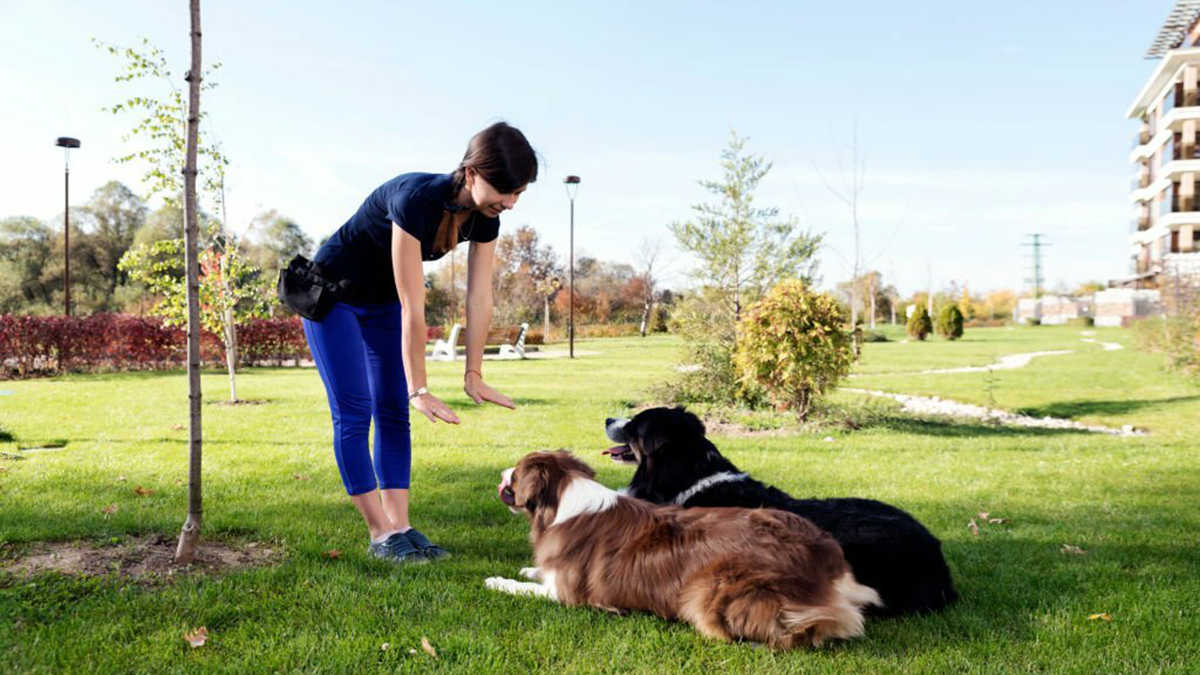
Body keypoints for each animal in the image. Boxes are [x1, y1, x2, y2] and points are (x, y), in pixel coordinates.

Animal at [487, 449, 883, 648]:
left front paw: (497, 581)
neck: (563, 500)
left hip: (711, 590)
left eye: (516, 473)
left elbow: (523, 587)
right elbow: (536, 573)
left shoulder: (567, 595)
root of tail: (825, 557)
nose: (502, 473)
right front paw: (529, 568)